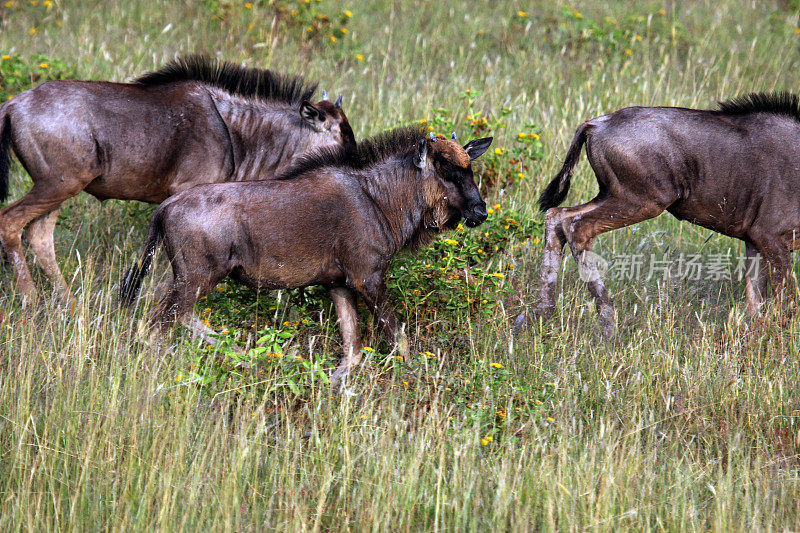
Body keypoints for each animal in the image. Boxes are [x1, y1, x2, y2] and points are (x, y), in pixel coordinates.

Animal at [0, 57, 354, 302]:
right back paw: (31, 302)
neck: (237, 132)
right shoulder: (186, 194)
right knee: (11, 223)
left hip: (59, 189)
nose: (351, 170)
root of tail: (14, 103)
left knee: (39, 237)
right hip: (57, 184)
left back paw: (68, 303)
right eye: (341, 140)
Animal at [119, 128, 494, 386]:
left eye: (469, 168)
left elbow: (352, 352)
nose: (480, 211)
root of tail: (166, 208)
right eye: (444, 169)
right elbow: (398, 339)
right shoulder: (367, 278)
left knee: (175, 317)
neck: (380, 200)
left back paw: (248, 358)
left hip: (189, 279)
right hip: (196, 277)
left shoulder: (338, 284)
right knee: (151, 325)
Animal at [520, 90, 800, 332]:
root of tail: (595, 124)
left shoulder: (755, 241)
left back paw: (541, 314)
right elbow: (786, 305)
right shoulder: (769, 237)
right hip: (641, 201)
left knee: (557, 216)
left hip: (613, 195)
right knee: (576, 226)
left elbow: (755, 305)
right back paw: (607, 324)